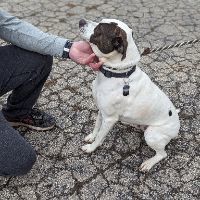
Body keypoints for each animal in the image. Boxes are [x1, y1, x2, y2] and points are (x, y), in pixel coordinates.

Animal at [79, 18, 180, 171]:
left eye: (99, 29)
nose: (81, 21)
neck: (117, 73)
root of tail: (177, 124)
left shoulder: (109, 119)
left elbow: (100, 137)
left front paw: (91, 148)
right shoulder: (101, 111)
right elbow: (96, 126)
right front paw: (91, 136)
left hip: (151, 135)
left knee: (162, 154)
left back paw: (148, 163)